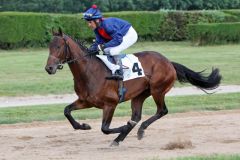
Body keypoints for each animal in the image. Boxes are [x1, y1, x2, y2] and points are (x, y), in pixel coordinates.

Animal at [45, 28, 221, 146]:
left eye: (59, 47)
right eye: (49, 47)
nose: (49, 68)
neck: (90, 71)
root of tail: (169, 62)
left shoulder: (110, 104)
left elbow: (105, 128)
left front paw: (123, 127)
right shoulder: (86, 101)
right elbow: (67, 111)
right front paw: (84, 125)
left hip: (157, 90)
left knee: (161, 111)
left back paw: (138, 130)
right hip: (139, 95)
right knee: (136, 116)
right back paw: (120, 138)